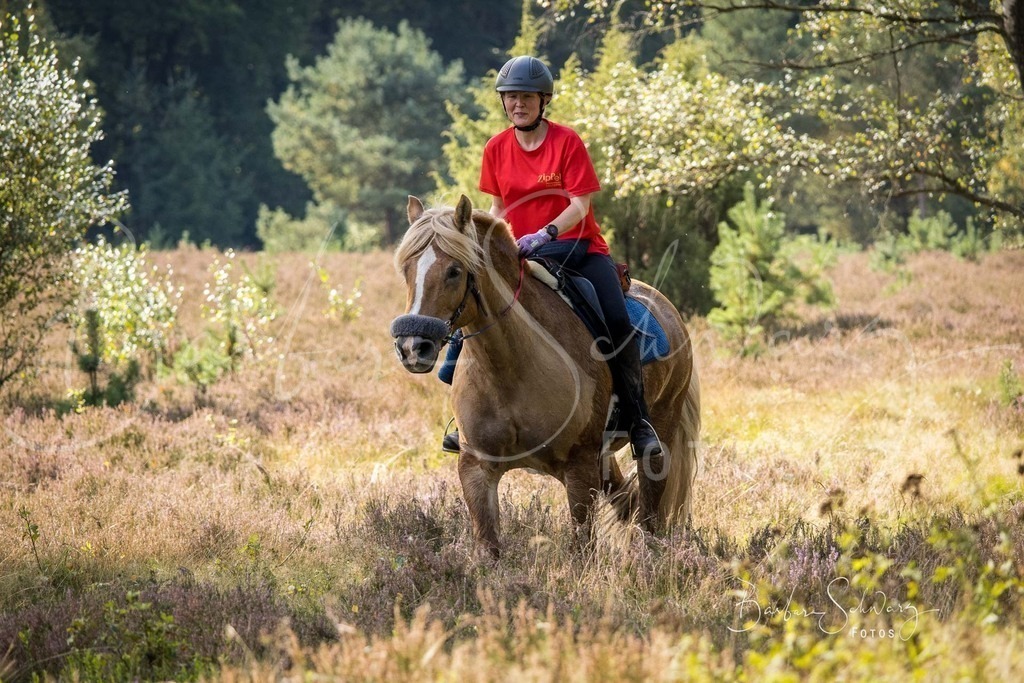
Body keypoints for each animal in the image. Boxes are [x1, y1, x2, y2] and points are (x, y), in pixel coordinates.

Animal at [391, 194, 700, 558]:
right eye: (407, 270)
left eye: (454, 271)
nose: (412, 346)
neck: (509, 368)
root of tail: (667, 308)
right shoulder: (476, 467)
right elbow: (487, 548)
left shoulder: (579, 469)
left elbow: (582, 548)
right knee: (628, 498)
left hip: (660, 432)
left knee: (649, 506)